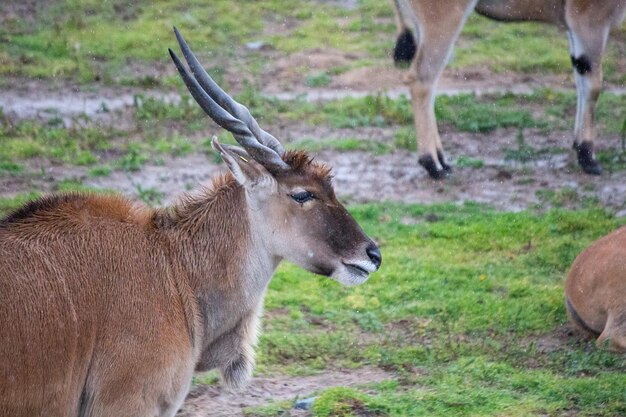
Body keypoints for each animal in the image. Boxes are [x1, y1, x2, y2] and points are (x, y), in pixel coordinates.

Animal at [392, 0, 620, 179]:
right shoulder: (589, 20)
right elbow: (593, 87)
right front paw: (587, 156)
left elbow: (582, 84)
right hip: (443, 21)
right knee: (422, 80)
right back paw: (432, 164)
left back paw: (442, 160)